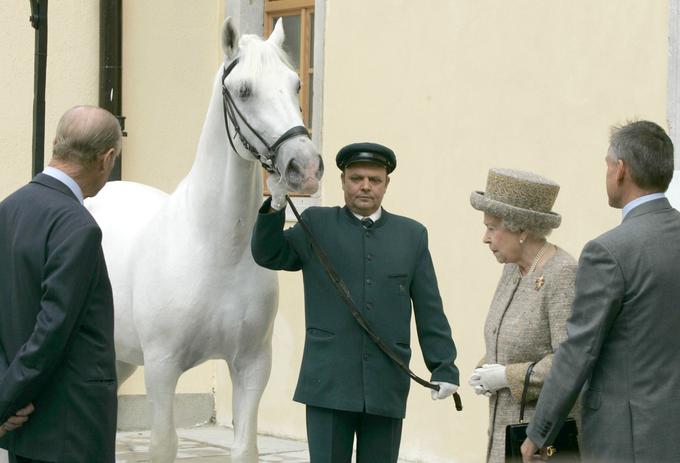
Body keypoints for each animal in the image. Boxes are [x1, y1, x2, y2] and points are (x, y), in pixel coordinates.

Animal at [86, 18, 322, 463]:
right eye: (244, 90)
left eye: (297, 83)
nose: (305, 167)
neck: (216, 250)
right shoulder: (162, 367)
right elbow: (163, 444)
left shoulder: (252, 364)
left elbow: (245, 447)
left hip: (118, 356)